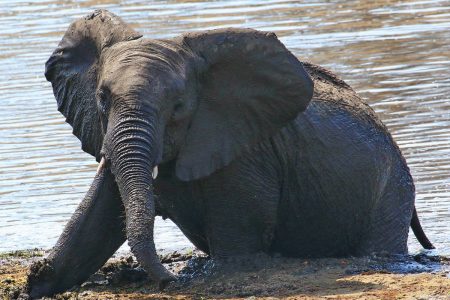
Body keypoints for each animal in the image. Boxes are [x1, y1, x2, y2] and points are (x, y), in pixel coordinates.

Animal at [26, 8, 434, 298]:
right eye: (102, 99)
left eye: (178, 107)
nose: (169, 281)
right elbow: (94, 220)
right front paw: (37, 285)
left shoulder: (245, 149)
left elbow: (238, 243)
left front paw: (197, 274)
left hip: (392, 189)